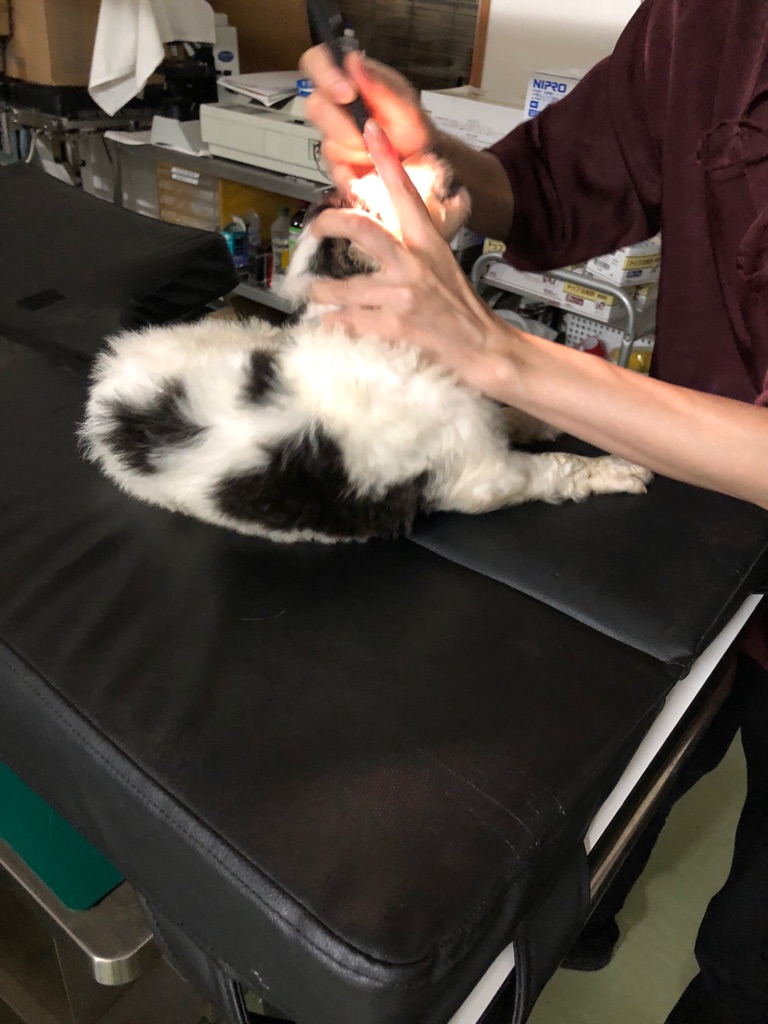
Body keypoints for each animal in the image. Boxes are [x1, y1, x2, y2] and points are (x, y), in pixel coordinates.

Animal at [81, 155, 651, 544]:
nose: (444, 164)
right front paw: (614, 469)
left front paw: (538, 420)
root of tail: (106, 384)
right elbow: (554, 468)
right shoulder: (483, 473)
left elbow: (508, 414)